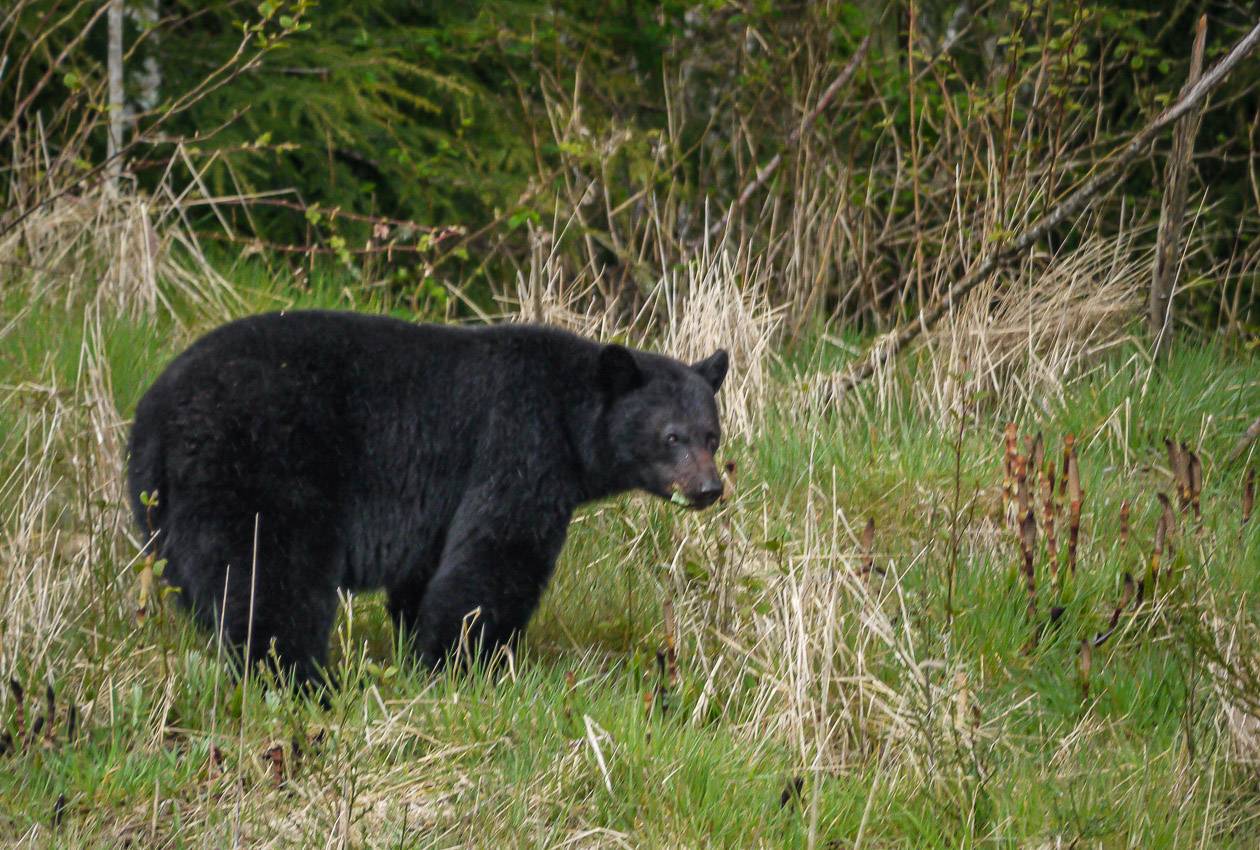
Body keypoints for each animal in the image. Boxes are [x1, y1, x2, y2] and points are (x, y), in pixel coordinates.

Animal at [127, 312, 730, 685]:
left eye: (712, 436)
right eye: (671, 436)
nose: (709, 489)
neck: (568, 411)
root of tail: (157, 412)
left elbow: (429, 570)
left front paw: (422, 647)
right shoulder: (519, 440)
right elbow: (497, 554)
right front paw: (465, 663)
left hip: (168, 507)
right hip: (262, 464)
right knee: (271, 579)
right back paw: (305, 681)